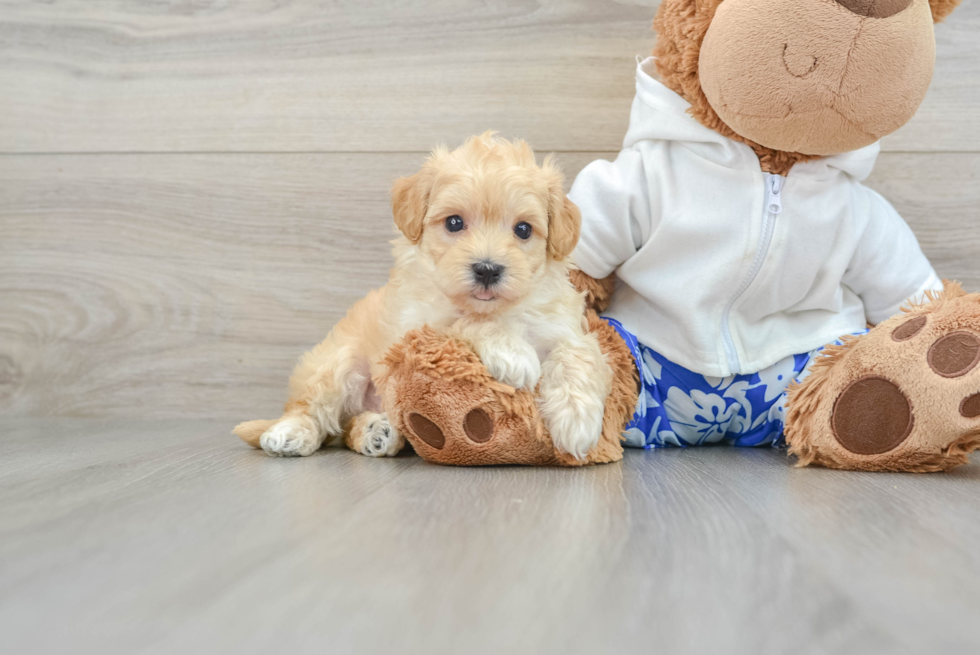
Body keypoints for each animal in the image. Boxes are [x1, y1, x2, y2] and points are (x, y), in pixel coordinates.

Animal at [234, 133, 612, 462]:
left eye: (523, 229)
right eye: (454, 222)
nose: (487, 269)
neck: (501, 309)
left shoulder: (564, 327)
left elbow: (577, 355)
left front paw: (577, 421)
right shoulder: (416, 328)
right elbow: (465, 321)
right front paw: (512, 353)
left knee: (347, 428)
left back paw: (376, 433)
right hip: (337, 363)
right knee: (313, 411)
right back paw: (290, 433)